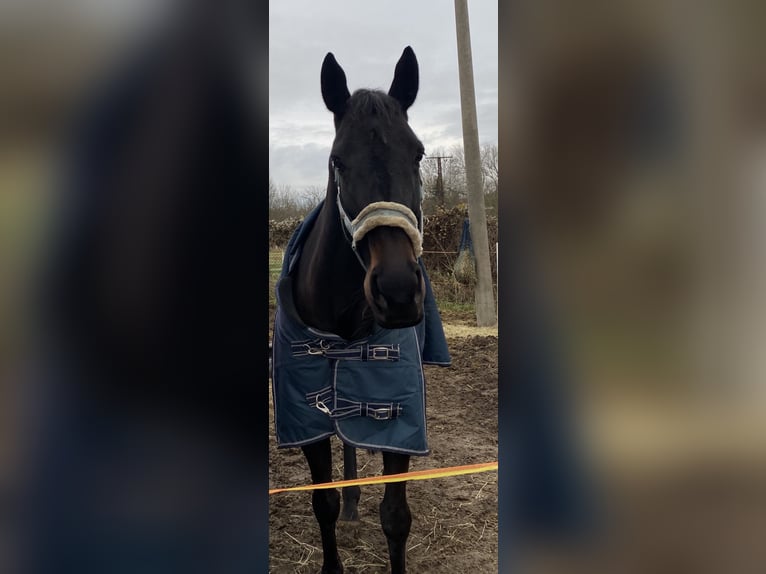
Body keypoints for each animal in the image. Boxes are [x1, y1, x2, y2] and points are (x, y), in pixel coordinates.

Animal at [271, 47, 450, 574]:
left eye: (417, 154)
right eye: (337, 160)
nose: (397, 292)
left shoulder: (397, 413)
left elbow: (395, 515)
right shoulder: (306, 414)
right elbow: (323, 501)